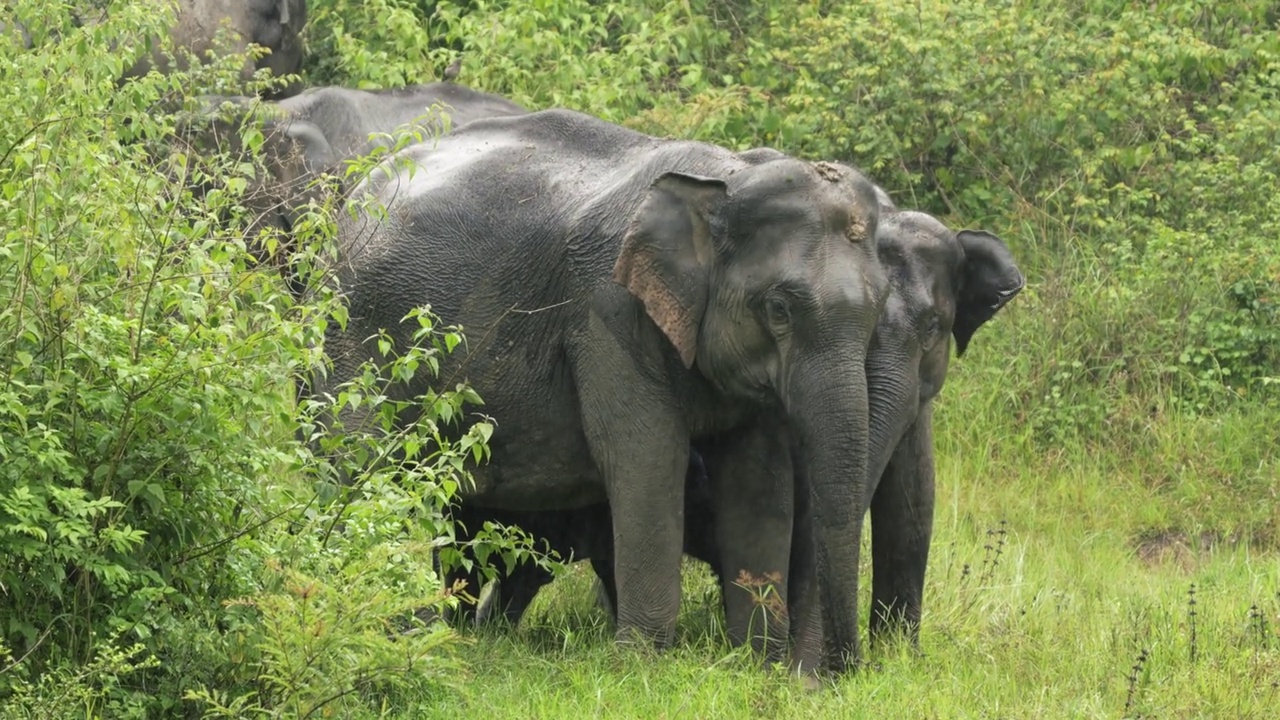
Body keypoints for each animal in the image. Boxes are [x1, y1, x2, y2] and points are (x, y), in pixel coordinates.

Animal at [313, 109, 885, 671]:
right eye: (779, 309)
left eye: (879, 307)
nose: (843, 671)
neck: (729, 174)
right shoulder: (606, 311)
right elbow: (645, 457)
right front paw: (641, 665)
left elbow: (757, 479)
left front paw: (754, 665)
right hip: (353, 344)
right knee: (356, 468)